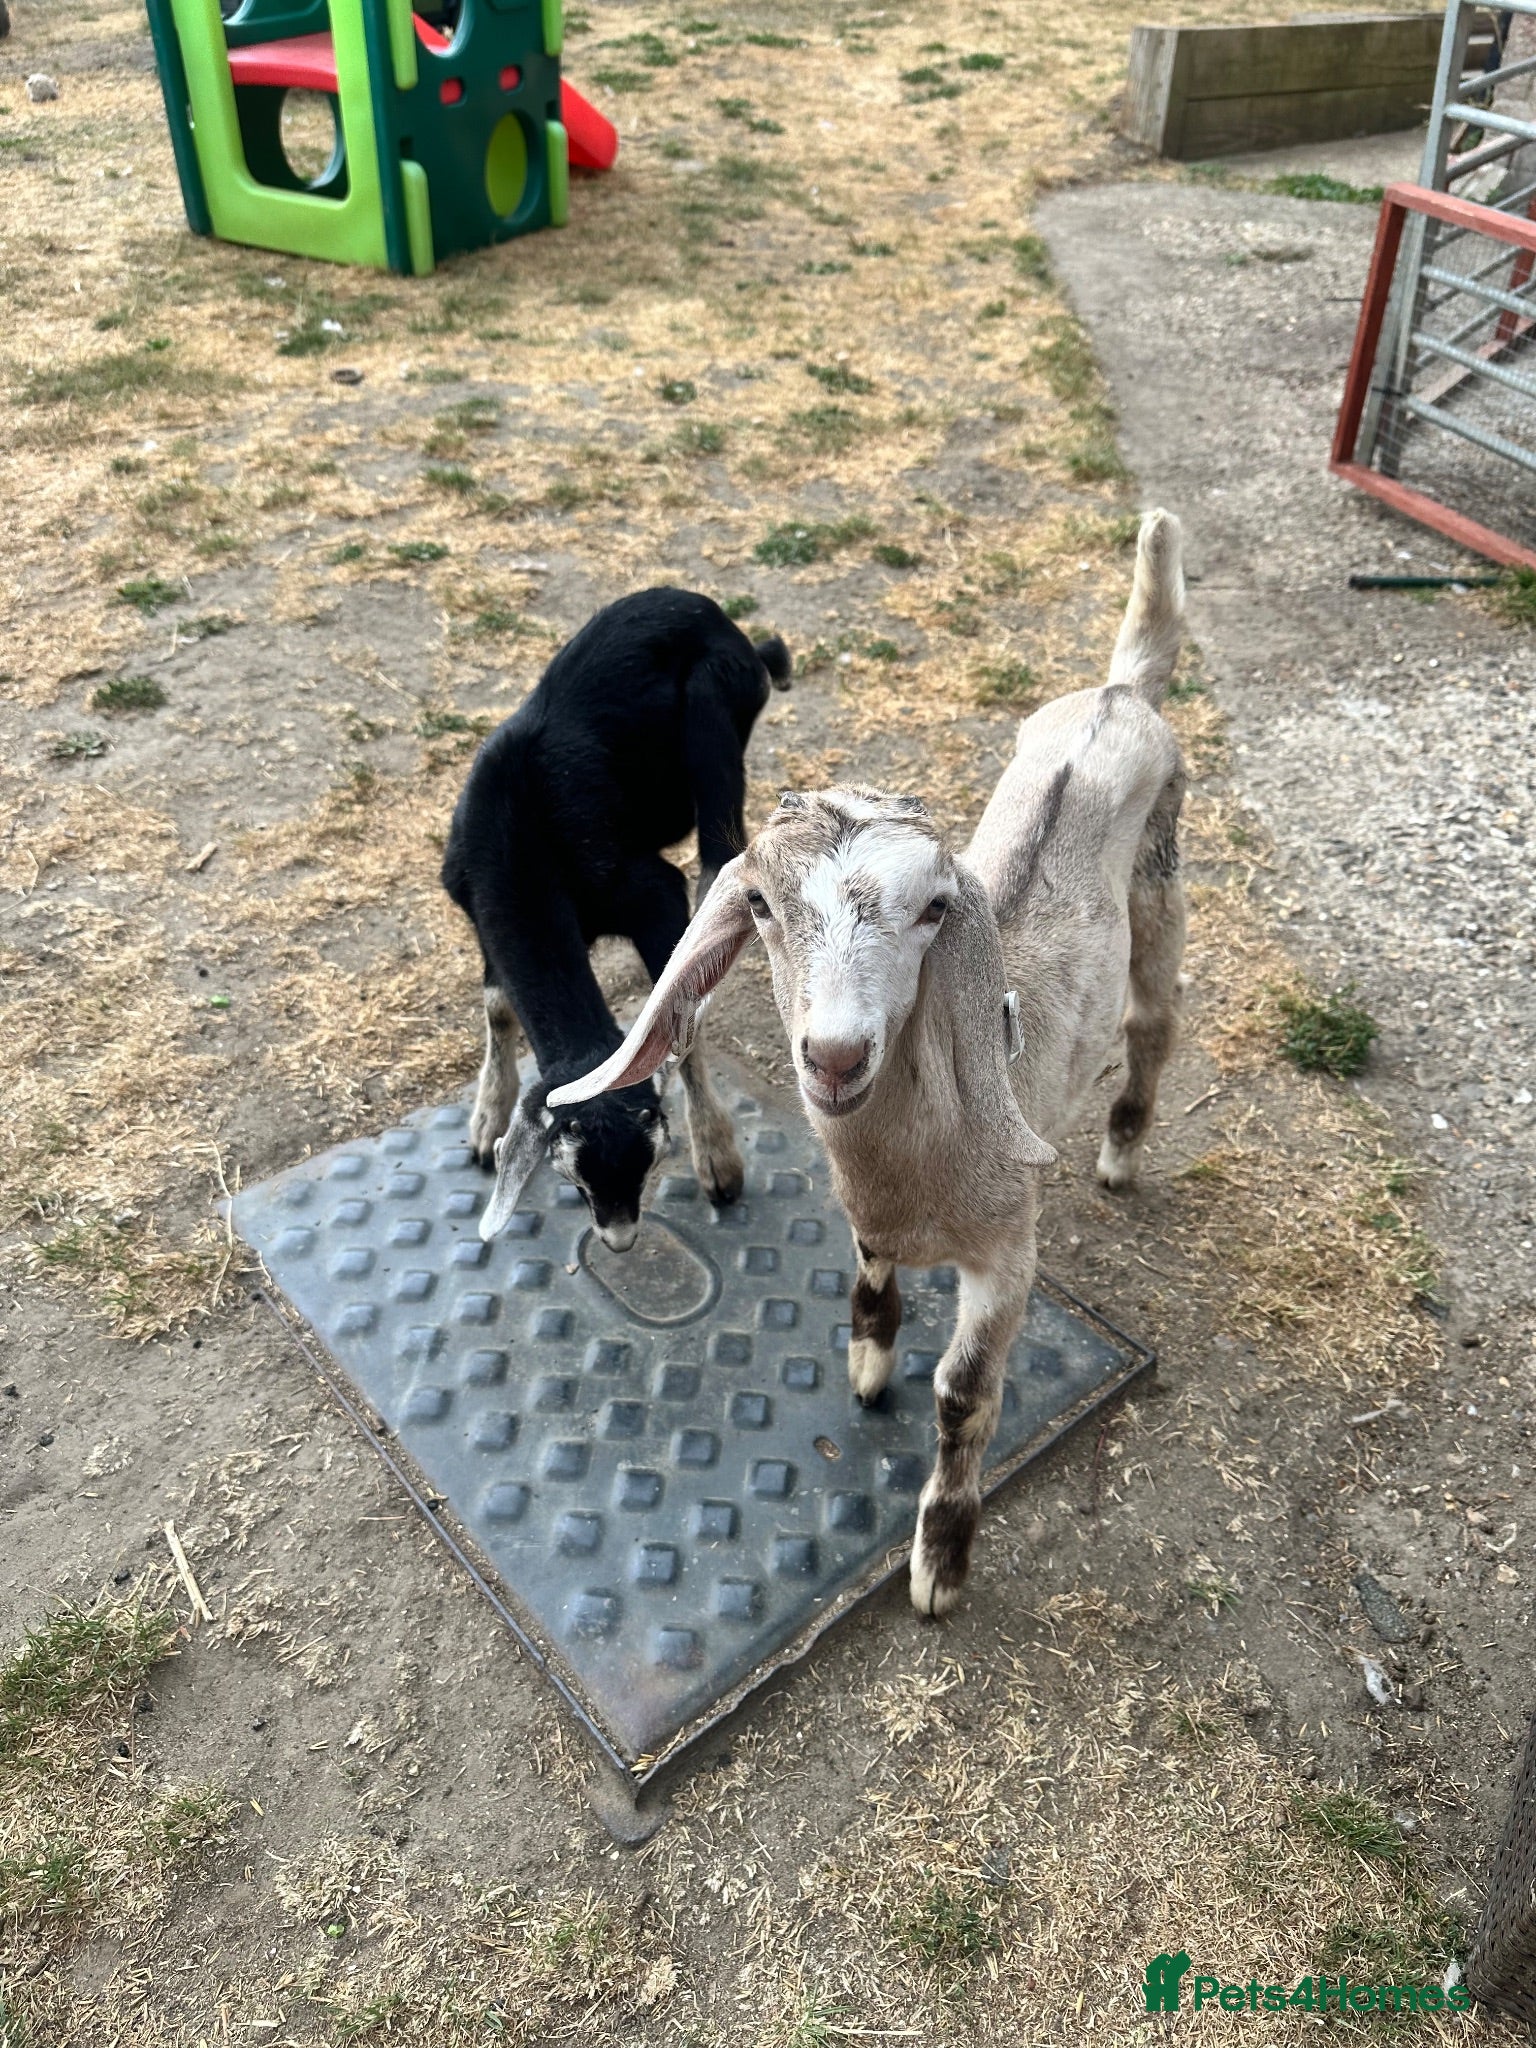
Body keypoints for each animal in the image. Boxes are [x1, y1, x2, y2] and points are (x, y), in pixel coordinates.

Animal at [441, 587, 791, 1253]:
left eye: (651, 1160)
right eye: (574, 1181)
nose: (621, 1239)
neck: (520, 836)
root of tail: (715, 615)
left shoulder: (649, 895)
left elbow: (678, 1009)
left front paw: (718, 1159)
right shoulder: (477, 909)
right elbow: (498, 1006)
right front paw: (486, 1119)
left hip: (716, 706)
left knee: (717, 852)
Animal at [547, 511, 1187, 1613]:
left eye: (933, 910)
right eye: (760, 905)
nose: (837, 1054)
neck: (918, 1158)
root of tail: (1121, 691)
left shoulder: (1010, 1252)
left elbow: (965, 1396)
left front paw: (939, 1564)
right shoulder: (869, 1215)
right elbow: (871, 1280)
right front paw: (866, 1362)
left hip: (1163, 878)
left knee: (1153, 1018)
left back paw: (1121, 1148)